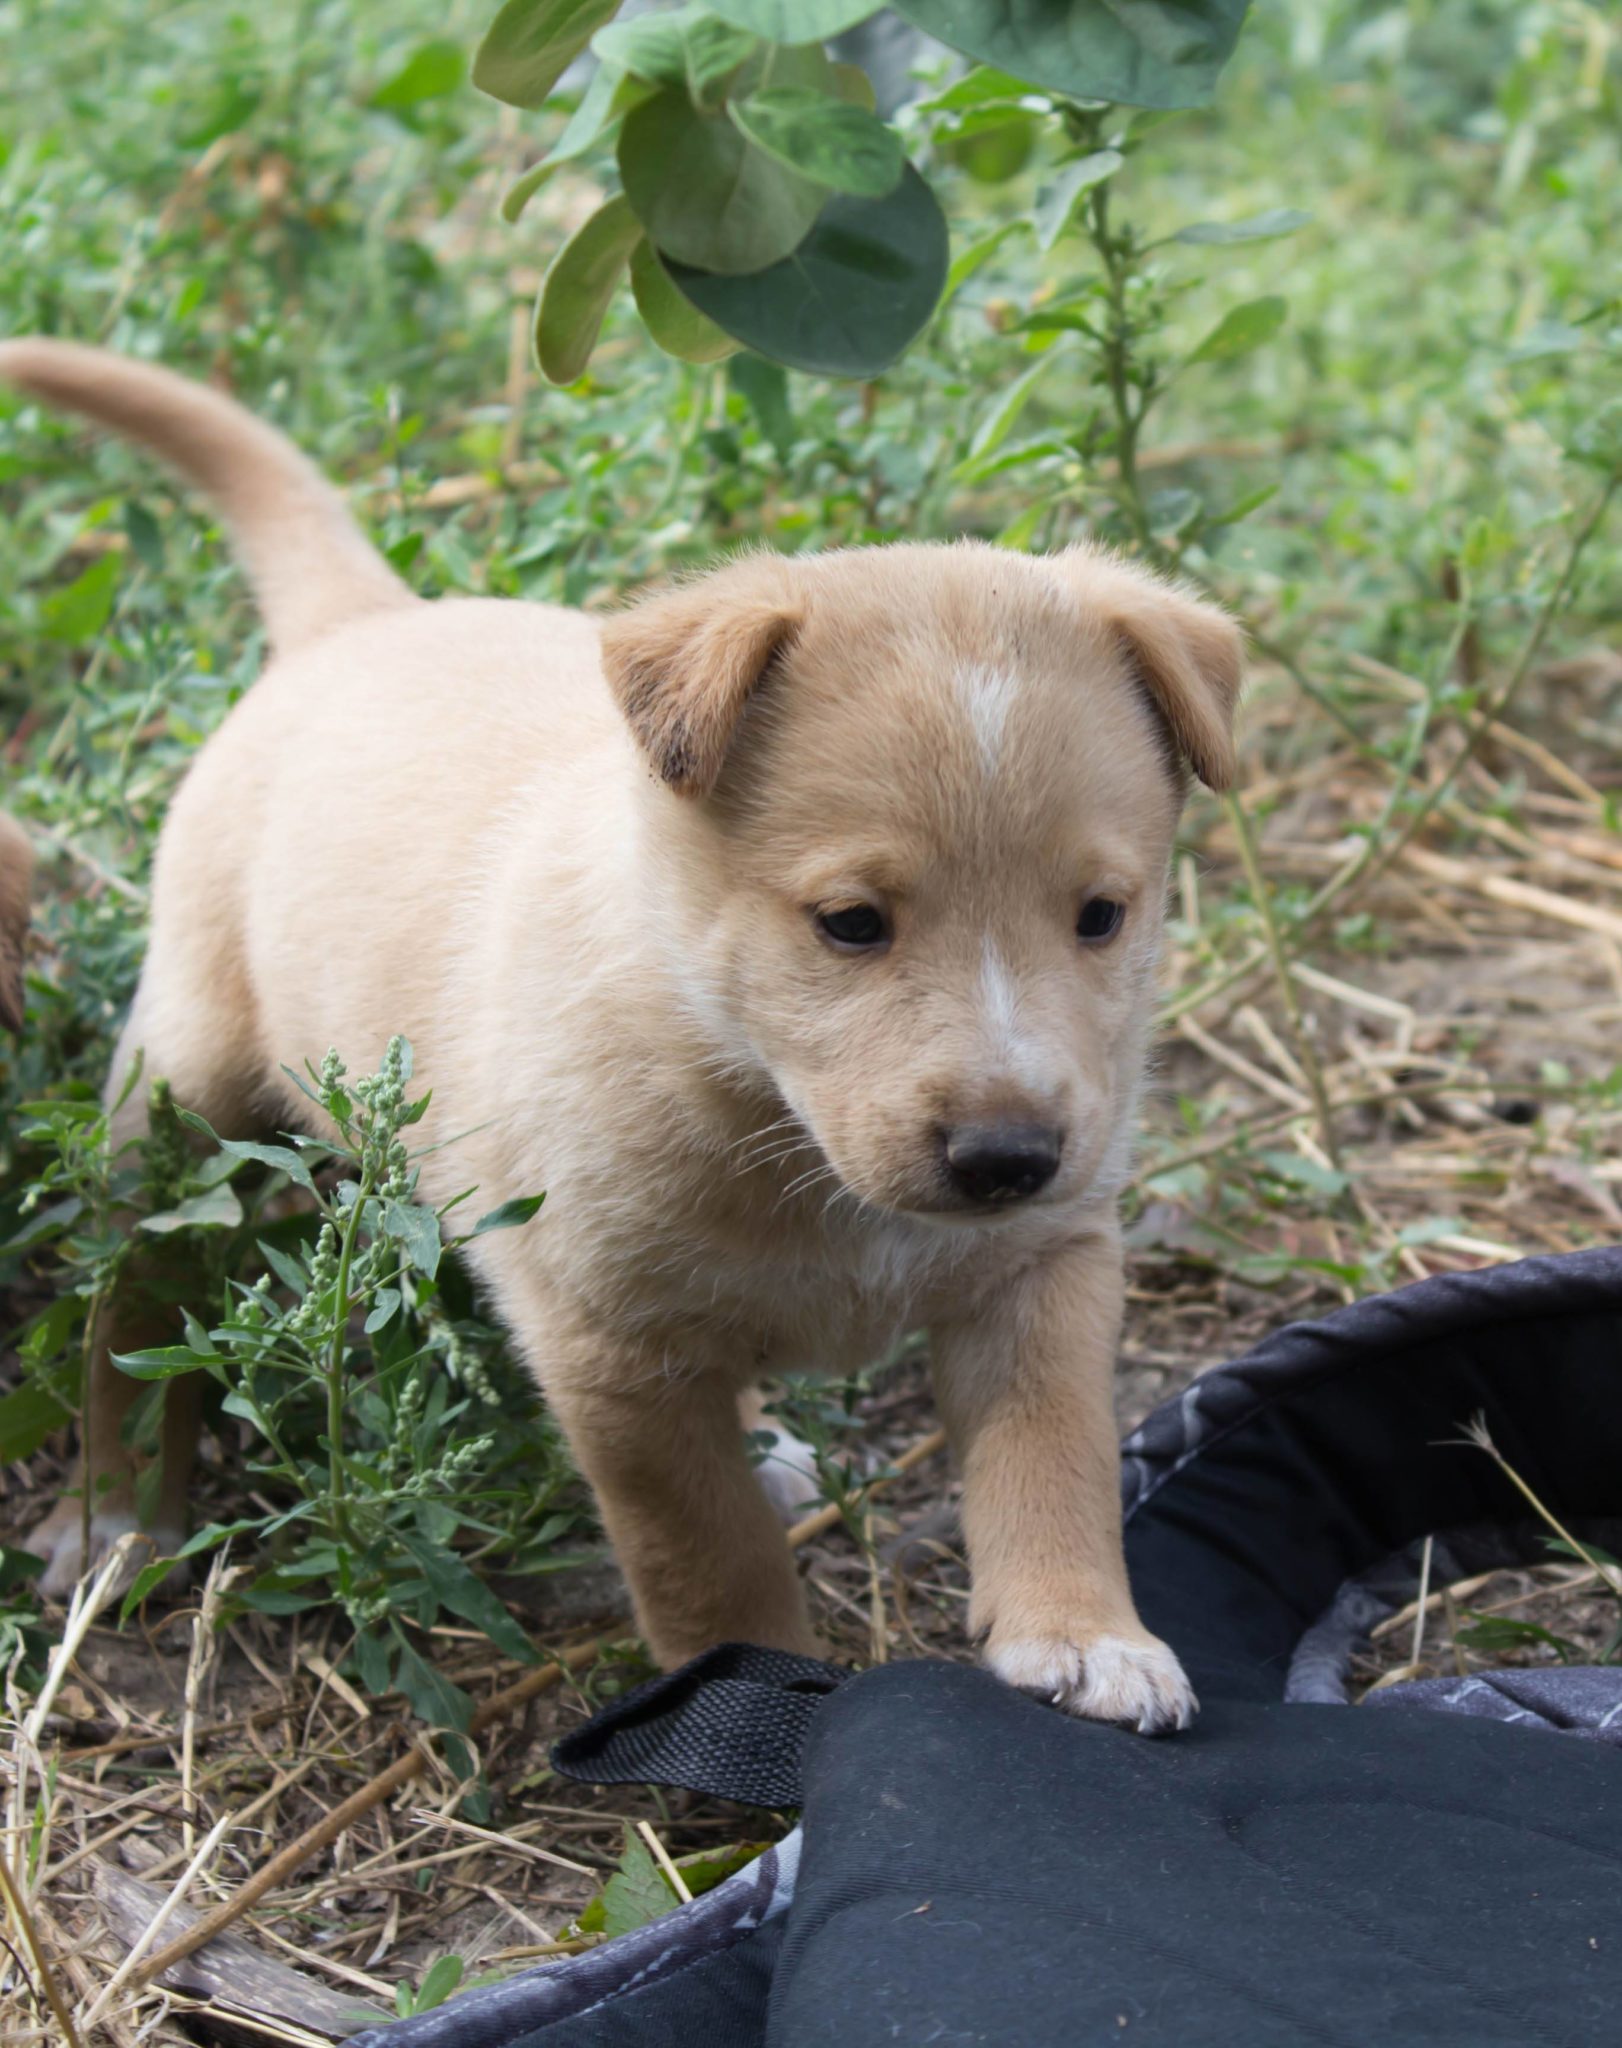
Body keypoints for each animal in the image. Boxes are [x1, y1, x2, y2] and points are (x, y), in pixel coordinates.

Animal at [6, 335, 1245, 1728]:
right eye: (850, 922)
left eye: (1100, 915)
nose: (1003, 1157)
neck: (746, 1082)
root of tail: (361, 620)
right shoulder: (611, 1346)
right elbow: (704, 1549)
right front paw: (741, 1692)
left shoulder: (1045, 1262)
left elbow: (1054, 1452)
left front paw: (1081, 1634)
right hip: (181, 1098)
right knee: (126, 1301)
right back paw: (116, 1516)